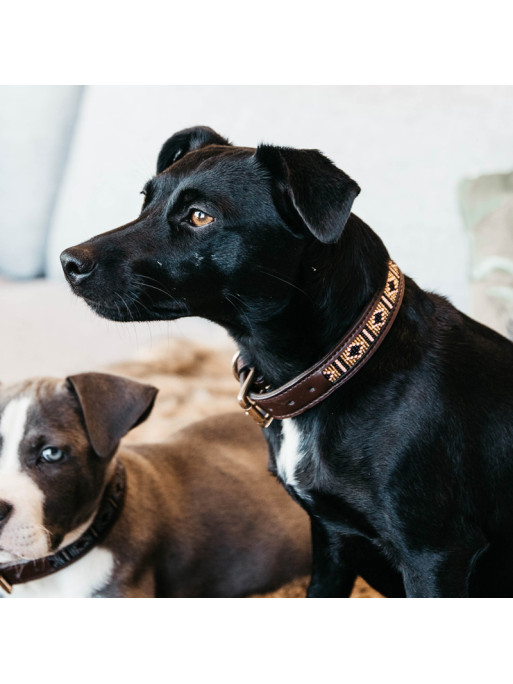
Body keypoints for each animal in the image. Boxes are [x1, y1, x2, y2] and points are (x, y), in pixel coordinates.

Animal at [61, 125, 513, 596]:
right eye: (145, 201)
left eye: (199, 217)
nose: (68, 261)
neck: (341, 365)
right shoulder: (331, 539)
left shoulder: (434, 554)